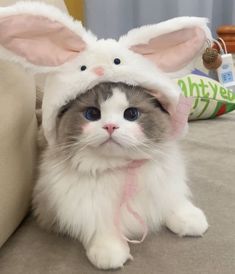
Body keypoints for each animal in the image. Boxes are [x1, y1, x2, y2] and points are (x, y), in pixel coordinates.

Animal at [32, 82, 207, 270]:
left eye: (131, 114)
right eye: (92, 114)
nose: (110, 126)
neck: (122, 167)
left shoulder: (163, 183)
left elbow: (173, 201)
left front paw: (189, 218)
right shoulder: (78, 205)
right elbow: (98, 223)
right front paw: (110, 250)